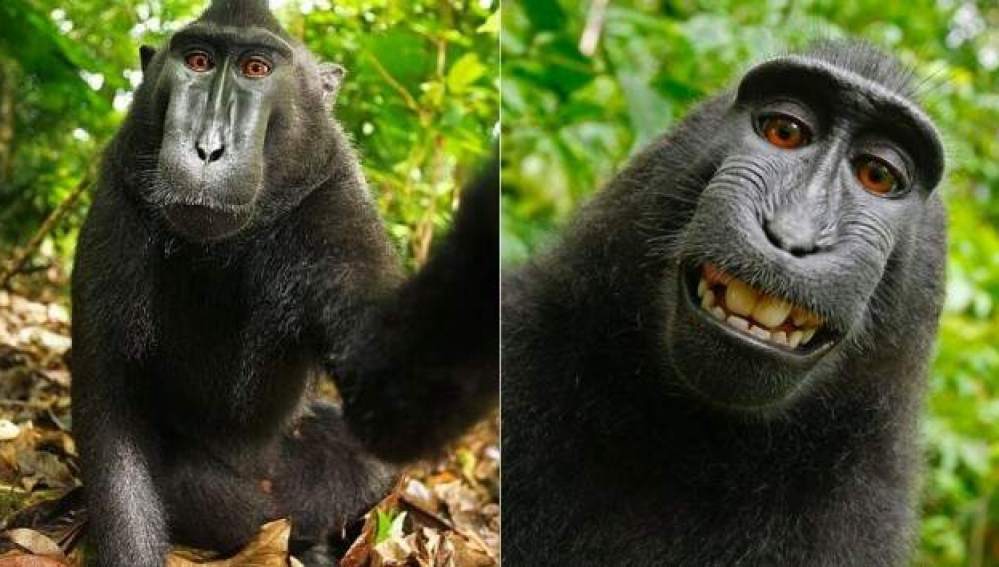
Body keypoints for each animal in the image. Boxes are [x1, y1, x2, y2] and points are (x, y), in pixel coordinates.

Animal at [69, 2, 497, 566]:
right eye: (199, 61)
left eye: (256, 69)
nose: (208, 148)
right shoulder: (119, 201)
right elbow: (109, 406)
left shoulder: (335, 203)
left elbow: (389, 396)